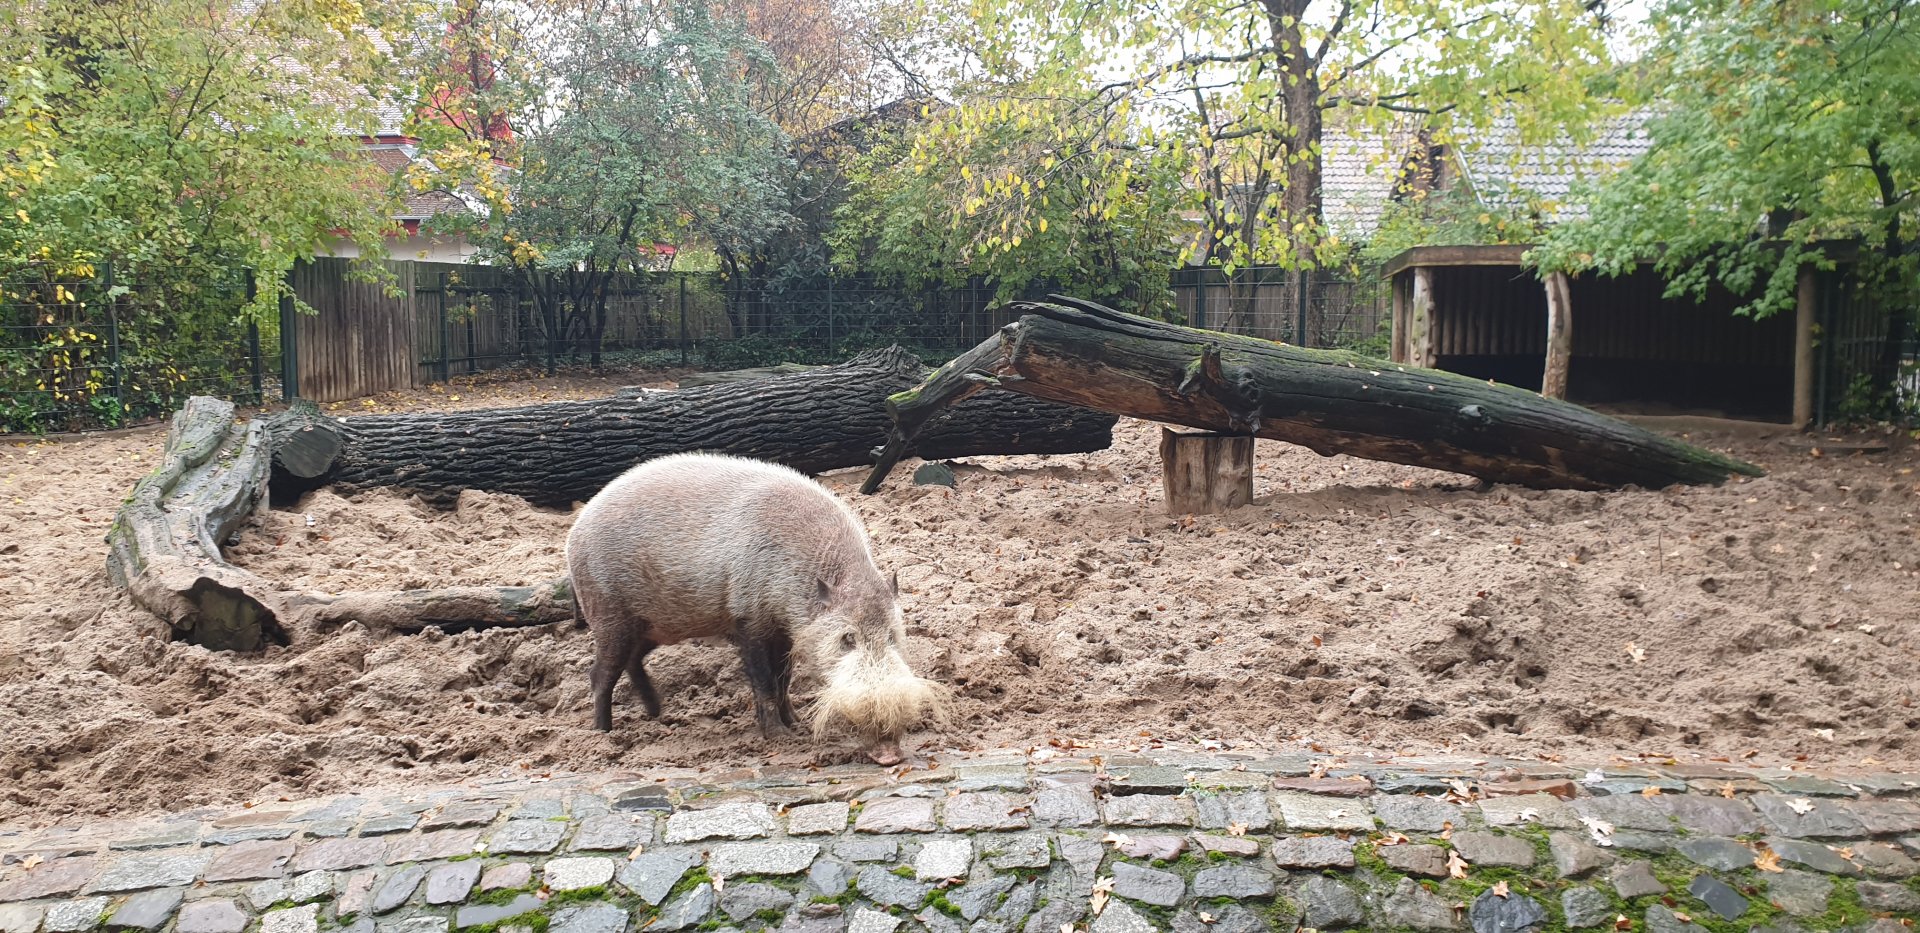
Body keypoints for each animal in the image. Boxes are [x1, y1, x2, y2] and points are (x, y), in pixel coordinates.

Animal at [564, 451, 948, 764]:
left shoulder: (786, 632)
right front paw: (780, 737)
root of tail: (575, 532)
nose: (890, 755)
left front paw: (798, 724)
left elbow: (784, 679)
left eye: (892, 636)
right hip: (608, 612)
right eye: (847, 638)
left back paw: (658, 715)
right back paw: (604, 735)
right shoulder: (748, 618)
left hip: (652, 626)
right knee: (600, 673)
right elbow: (764, 681)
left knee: (632, 662)